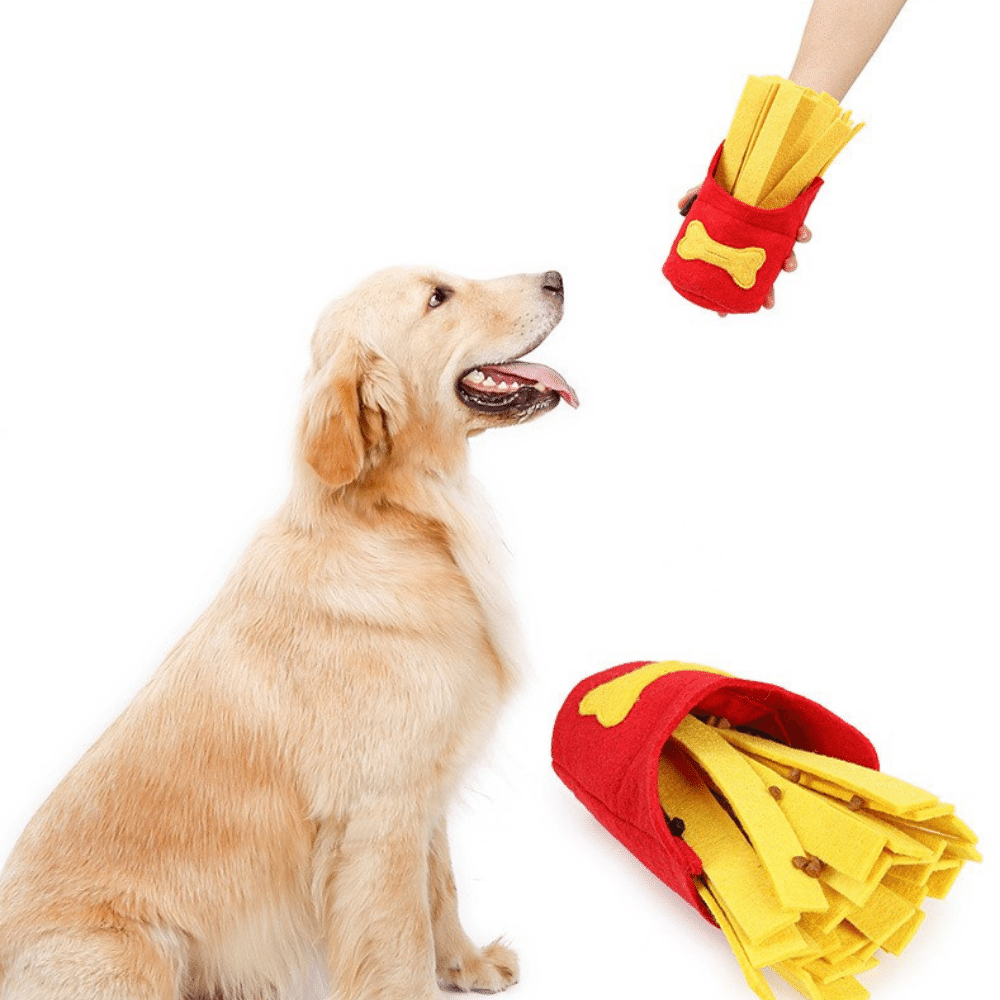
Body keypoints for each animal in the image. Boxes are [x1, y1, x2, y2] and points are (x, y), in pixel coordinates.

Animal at [0, 266, 580, 1000]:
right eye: (438, 297)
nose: (556, 277)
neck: (403, 519)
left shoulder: (425, 794)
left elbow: (442, 890)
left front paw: (468, 965)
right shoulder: (379, 818)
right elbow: (403, 943)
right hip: (132, 954)